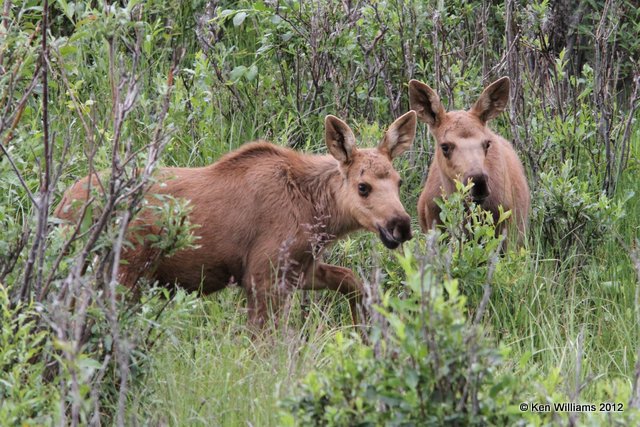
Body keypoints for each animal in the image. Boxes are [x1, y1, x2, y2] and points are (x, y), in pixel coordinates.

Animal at [53, 112, 416, 330]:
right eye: (363, 186)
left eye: (398, 181)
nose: (401, 225)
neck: (317, 212)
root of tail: (62, 208)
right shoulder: (261, 276)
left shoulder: (299, 268)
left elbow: (354, 282)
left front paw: (364, 332)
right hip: (122, 271)